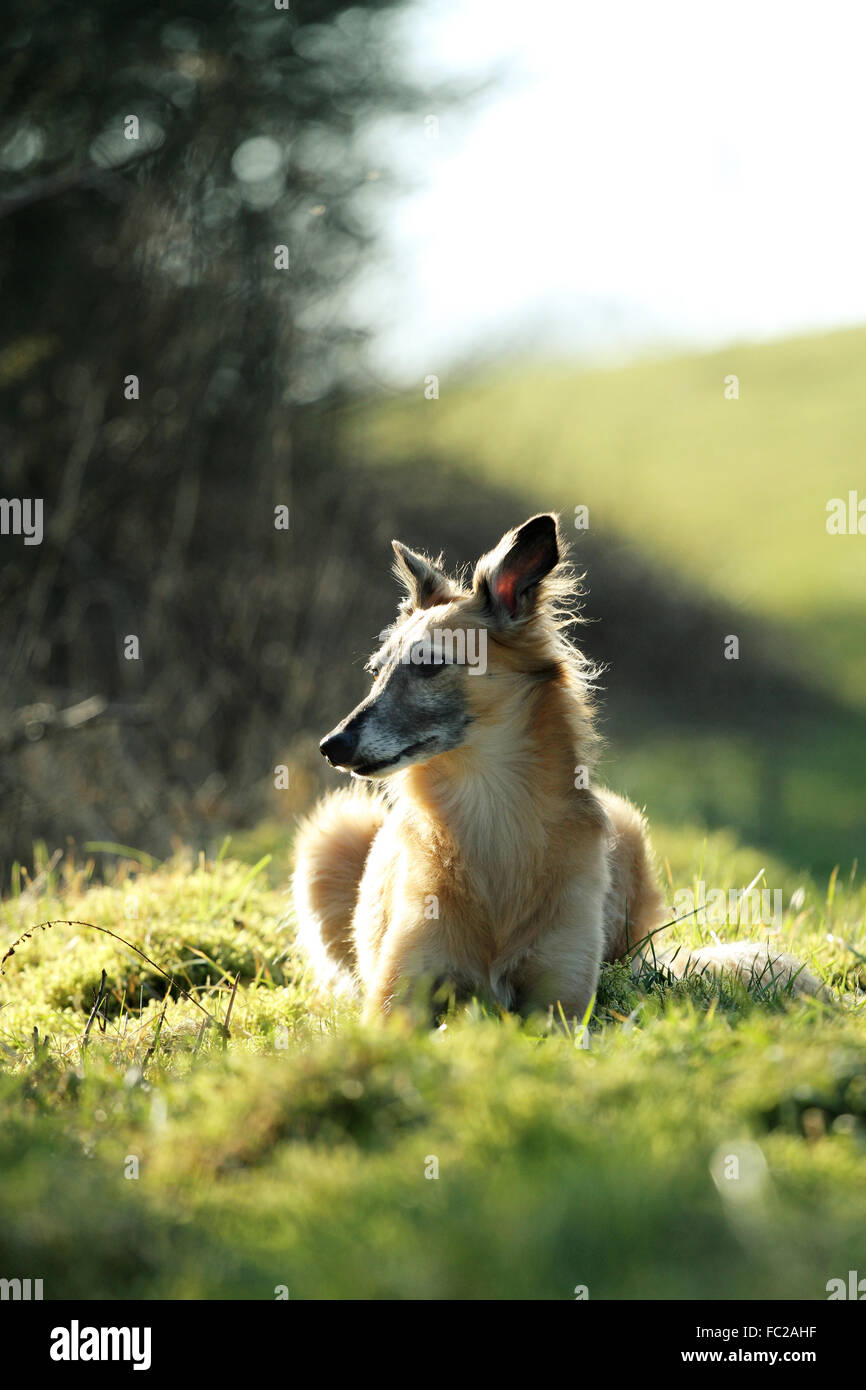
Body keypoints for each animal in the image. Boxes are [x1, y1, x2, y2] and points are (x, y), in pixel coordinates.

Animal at [293, 514, 828, 1023]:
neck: (490, 811)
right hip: (333, 829)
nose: (331, 746)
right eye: (375, 671)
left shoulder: (562, 1004)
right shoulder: (397, 997)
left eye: (428, 663)